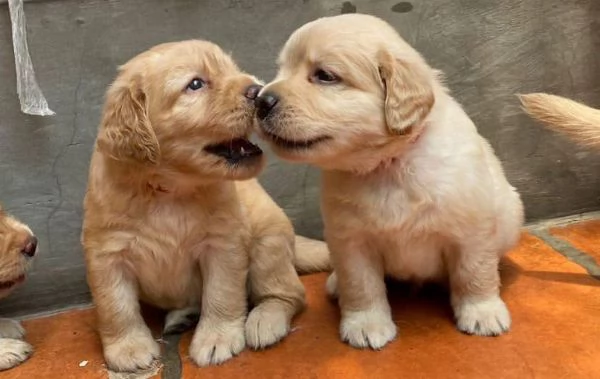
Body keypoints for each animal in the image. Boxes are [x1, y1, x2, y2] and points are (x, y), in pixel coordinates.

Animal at [81, 40, 328, 372]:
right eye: (195, 84)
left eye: (233, 69)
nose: (259, 92)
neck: (169, 192)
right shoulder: (106, 255)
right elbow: (116, 307)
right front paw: (129, 349)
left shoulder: (223, 246)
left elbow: (221, 294)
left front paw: (217, 338)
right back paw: (183, 315)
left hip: (268, 247)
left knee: (289, 293)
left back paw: (264, 321)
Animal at [254, 13, 524, 348]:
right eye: (282, 69)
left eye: (325, 76)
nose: (259, 101)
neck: (388, 164)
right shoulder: (350, 239)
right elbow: (361, 284)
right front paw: (366, 323)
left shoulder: (471, 229)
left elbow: (474, 273)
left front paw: (482, 311)